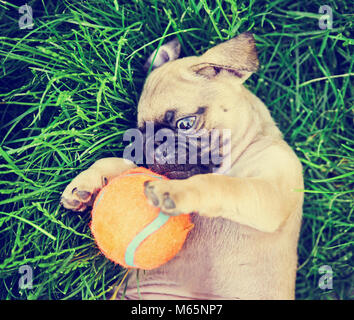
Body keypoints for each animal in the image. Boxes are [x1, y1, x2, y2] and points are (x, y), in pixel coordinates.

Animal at [60, 33, 304, 300]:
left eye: (185, 123)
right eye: (140, 136)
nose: (154, 147)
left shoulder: (271, 195)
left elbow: (221, 185)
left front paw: (178, 191)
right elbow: (118, 164)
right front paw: (87, 184)